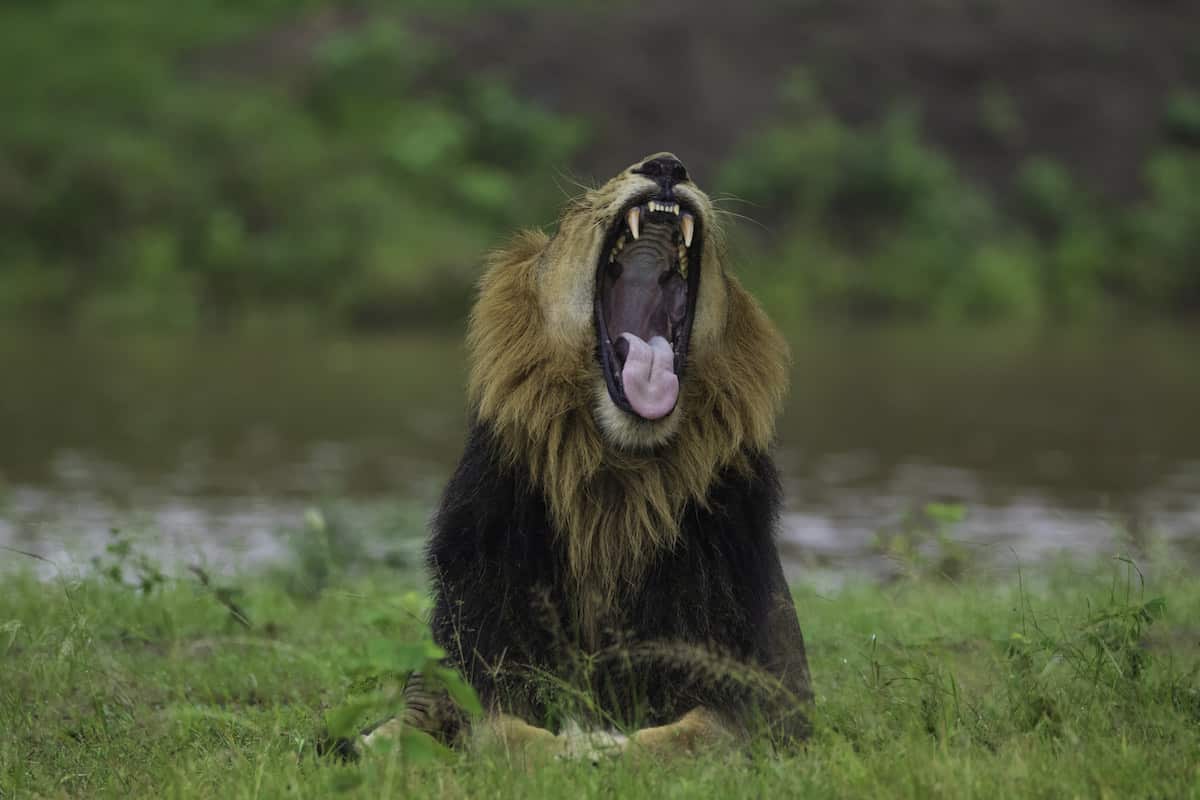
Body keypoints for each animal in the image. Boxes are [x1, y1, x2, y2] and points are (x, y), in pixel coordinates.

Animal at [360, 154, 811, 762]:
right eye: (577, 208)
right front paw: (571, 748)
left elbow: (690, 735)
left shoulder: (761, 696)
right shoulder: (474, 654)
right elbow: (498, 729)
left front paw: (605, 747)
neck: (618, 478)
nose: (667, 165)